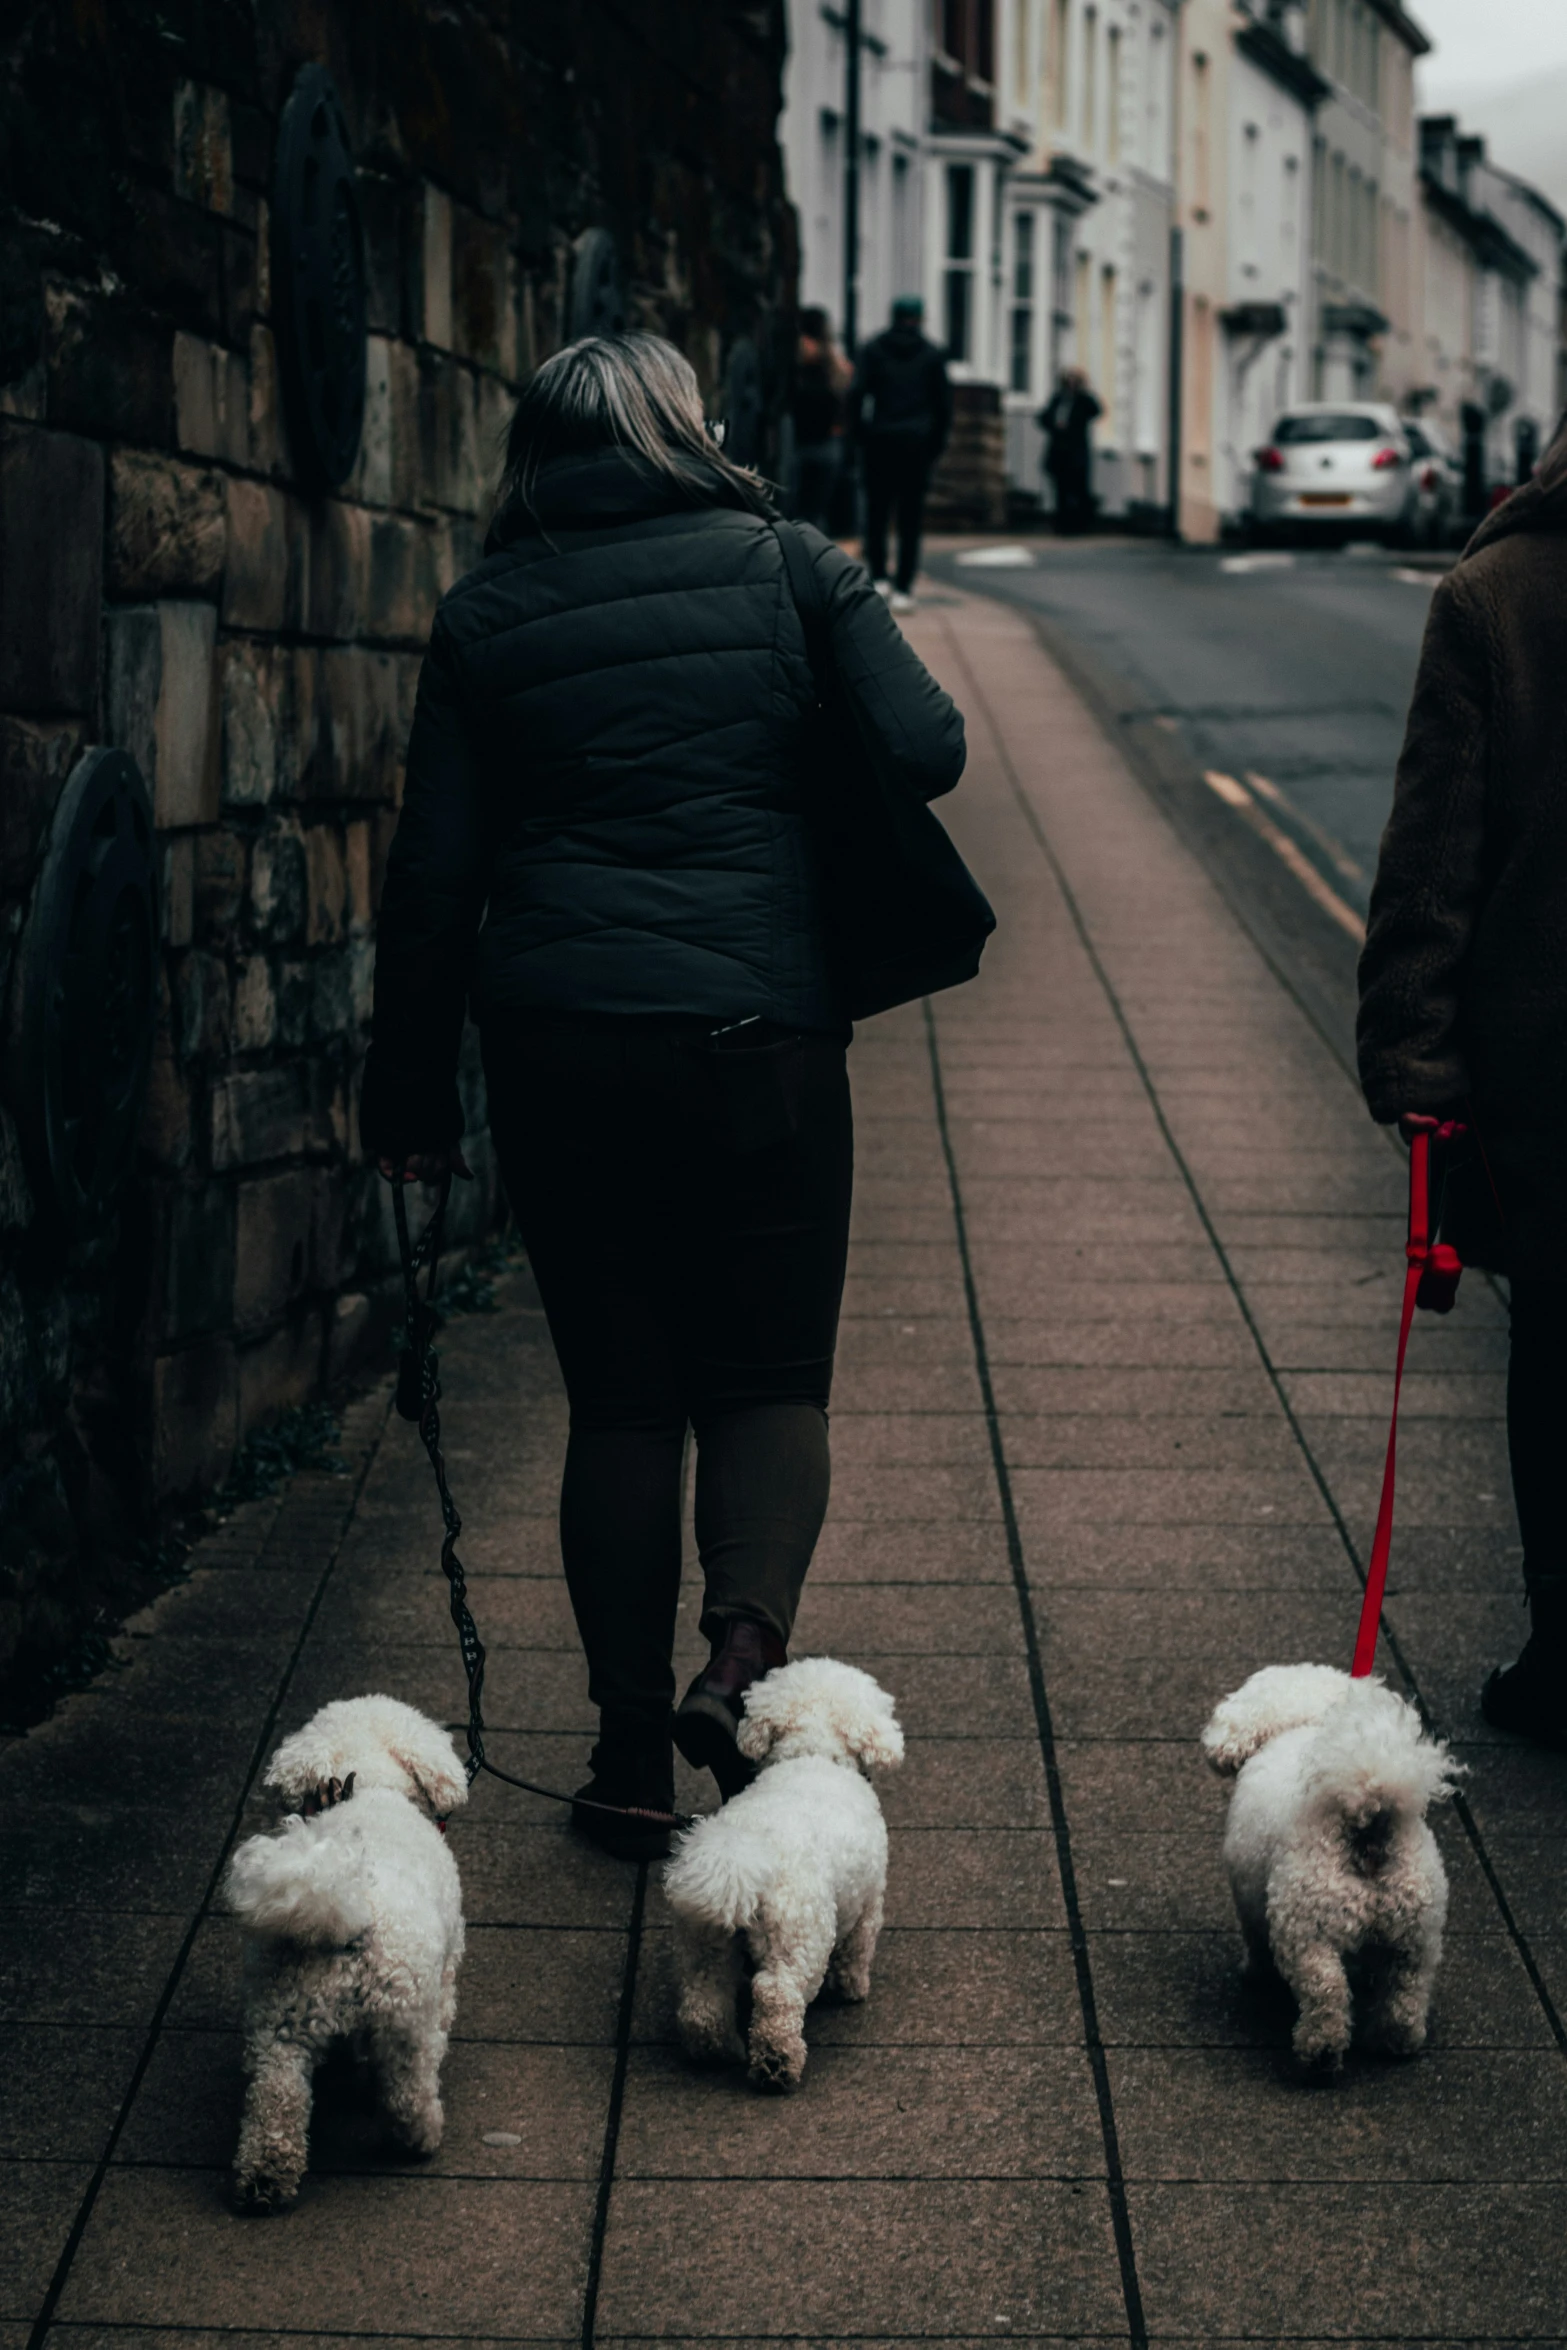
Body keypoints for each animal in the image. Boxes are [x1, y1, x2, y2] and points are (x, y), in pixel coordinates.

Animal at [222, 1691, 465, 2199]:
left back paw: (264, 2178)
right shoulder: (446, 1967)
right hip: (406, 2021)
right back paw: (420, 2140)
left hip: (279, 2019)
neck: (369, 1784)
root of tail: (348, 1918)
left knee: (276, 2096)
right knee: (408, 2091)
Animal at [667, 1654, 906, 2096]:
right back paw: (776, 2062)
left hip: (704, 1938)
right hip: (800, 1936)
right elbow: (858, 1949)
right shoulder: (869, 1901)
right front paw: (851, 1988)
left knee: (703, 1999)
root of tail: (743, 1856)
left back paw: (717, 2050)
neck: (812, 1754)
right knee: (778, 1992)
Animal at [1212, 1663, 1465, 2068]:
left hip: (1306, 1923)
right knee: (1407, 1989)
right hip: (1417, 1927)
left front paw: (1253, 1973)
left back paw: (1319, 2051)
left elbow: (1255, 1938)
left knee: (1326, 1991)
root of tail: (1370, 1820)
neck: (1305, 1720)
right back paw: (1396, 2040)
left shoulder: (1249, 1896)